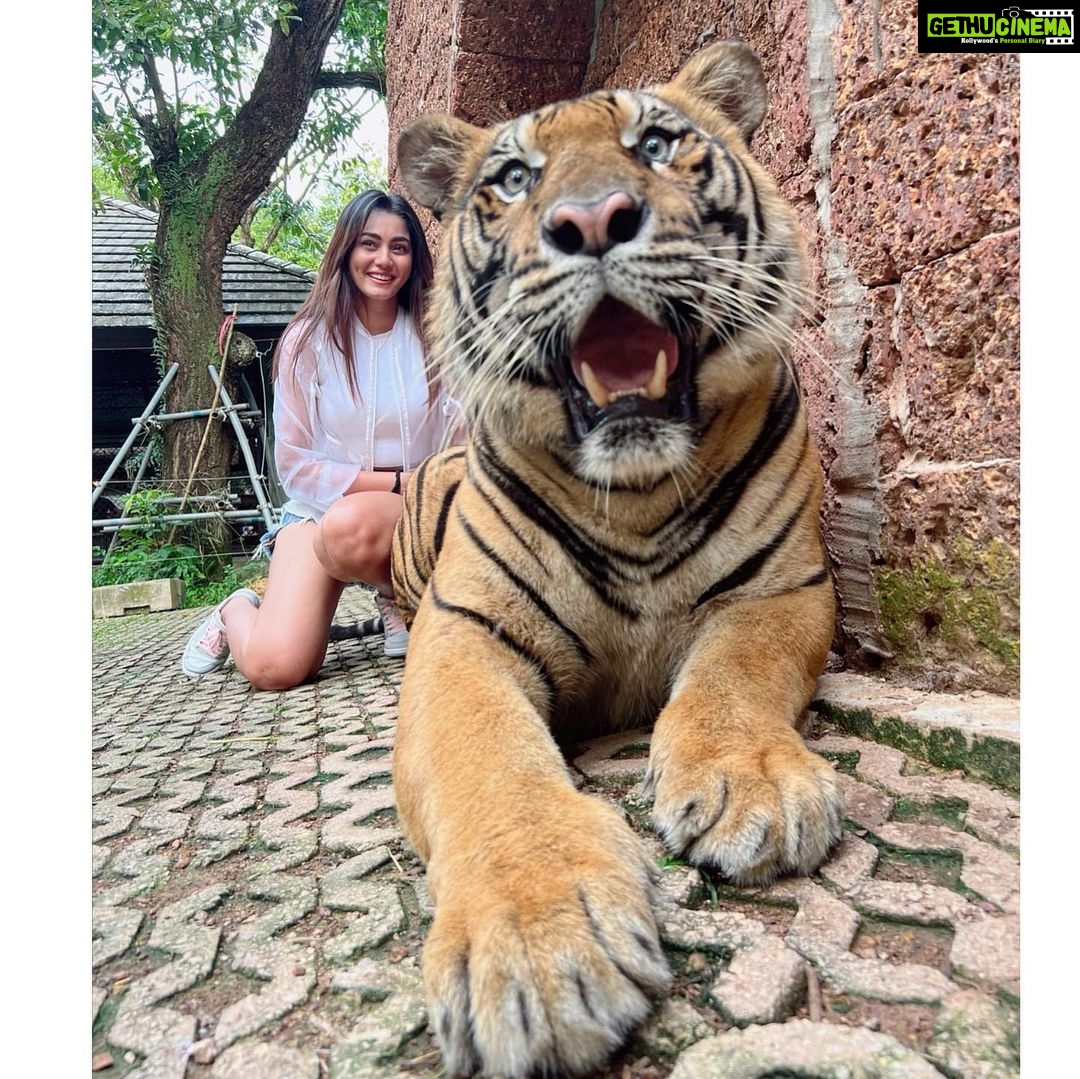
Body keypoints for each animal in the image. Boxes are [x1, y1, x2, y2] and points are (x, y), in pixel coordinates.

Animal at [390, 41, 844, 1078]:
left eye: (658, 144)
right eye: (515, 179)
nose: (591, 220)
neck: (634, 494)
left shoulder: (785, 588)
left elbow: (732, 674)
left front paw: (754, 784)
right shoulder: (462, 633)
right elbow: (487, 755)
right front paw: (537, 940)